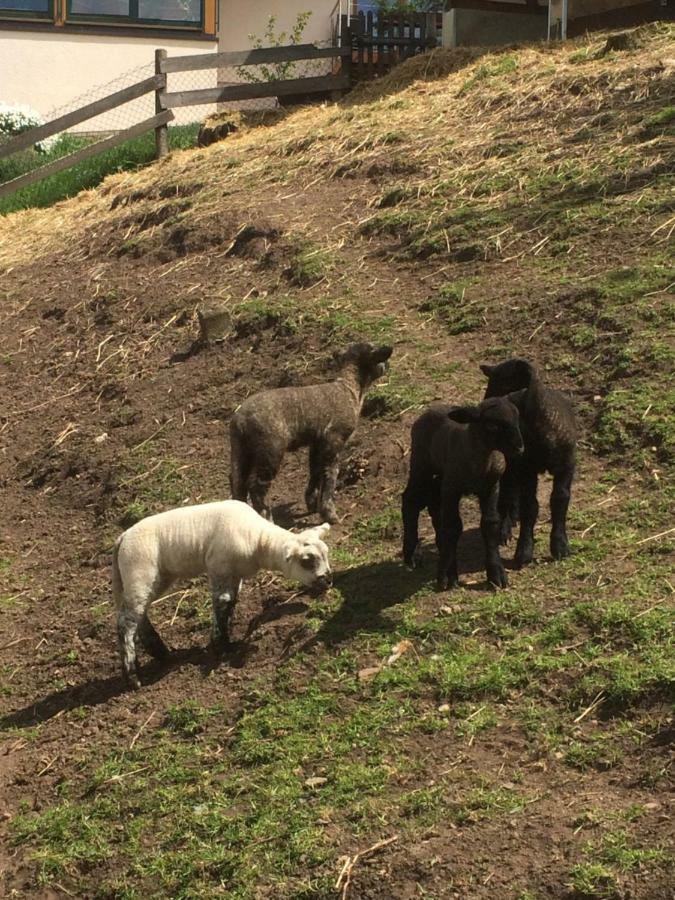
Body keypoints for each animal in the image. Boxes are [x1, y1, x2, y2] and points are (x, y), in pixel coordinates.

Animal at [113, 500, 332, 688]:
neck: (259, 541)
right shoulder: (220, 567)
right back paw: (133, 677)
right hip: (140, 573)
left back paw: (161, 654)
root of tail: (122, 539)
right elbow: (223, 601)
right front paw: (221, 646)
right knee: (126, 622)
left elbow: (231, 603)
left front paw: (227, 639)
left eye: (327, 554)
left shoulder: (235, 575)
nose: (328, 580)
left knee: (139, 616)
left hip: (154, 579)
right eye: (306, 561)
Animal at [230, 344, 394, 528]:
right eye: (377, 355)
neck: (349, 388)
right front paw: (330, 514)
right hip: (270, 449)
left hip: (240, 449)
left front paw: (312, 504)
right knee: (255, 485)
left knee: (237, 481)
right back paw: (267, 517)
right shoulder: (334, 438)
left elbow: (315, 470)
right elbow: (330, 473)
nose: (388, 364)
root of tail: (239, 420)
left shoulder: (317, 442)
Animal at [402, 400, 528, 592]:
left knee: (433, 505)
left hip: (439, 476)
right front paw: (446, 576)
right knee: (410, 499)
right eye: (492, 425)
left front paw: (496, 574)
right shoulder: (451, 488)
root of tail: (430, 409)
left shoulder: (491, 486)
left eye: (517, 419)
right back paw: (411, 552)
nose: (519, 447)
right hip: (421, 463)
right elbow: (452, 527)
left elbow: (490, 523)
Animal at [484, 358, 580, 568]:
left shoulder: (567, 464)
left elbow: (560, 498)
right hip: (510, 464)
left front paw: (560, 545)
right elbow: (530, 507)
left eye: (503, 382)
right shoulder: (527, 468)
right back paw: (505, 528)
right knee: (507, 493)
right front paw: (524, 551)